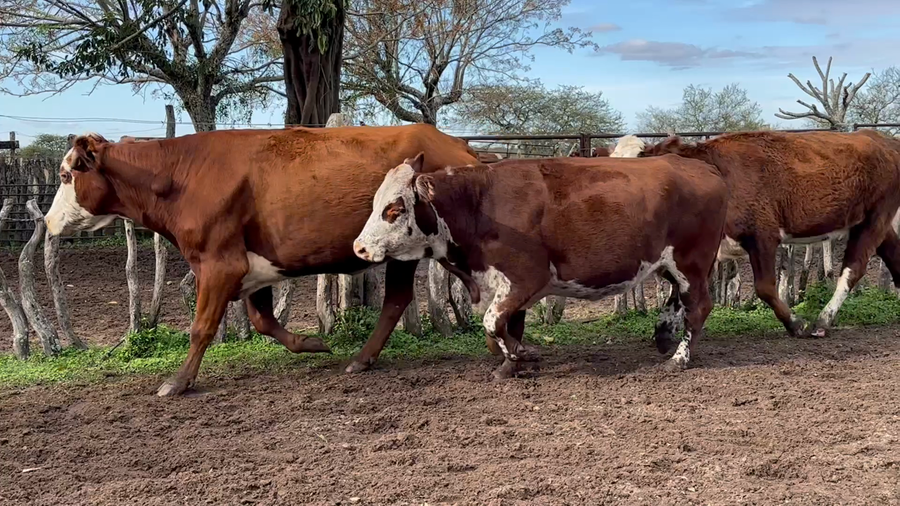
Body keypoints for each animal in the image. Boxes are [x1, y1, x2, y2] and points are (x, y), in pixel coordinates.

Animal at [44, 125, 482, 396]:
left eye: (66, 175)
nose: (47, 220)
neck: (181, 176)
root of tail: (454, 143)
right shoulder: (251, 269)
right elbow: (262, 320)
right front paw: (311, 343)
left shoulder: (218, 264)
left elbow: (201, 328)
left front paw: (179, 382)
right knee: (396, 300)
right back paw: (362, 359)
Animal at [352, 152, 729, 378]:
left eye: (394, 209)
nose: (359, 247)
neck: (478, 204)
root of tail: (702, 166)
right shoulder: (509, 287)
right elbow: (505, 328)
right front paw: (512, 363)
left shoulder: (525, 279)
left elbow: (492, 324)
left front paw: (522, 357)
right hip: (669, 265)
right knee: (677, 300)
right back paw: (664, 334)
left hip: (691, 263)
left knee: (698, 307)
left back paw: (679, 358)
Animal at [622, 129, 900, 337]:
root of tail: (883, 140)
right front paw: (664, 331)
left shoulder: (763, 236)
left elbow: (765, 287)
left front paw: (796, 324)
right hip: (874, 224)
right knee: (893, 254)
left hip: (874, 220)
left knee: (852, 270)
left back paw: (823, 321)